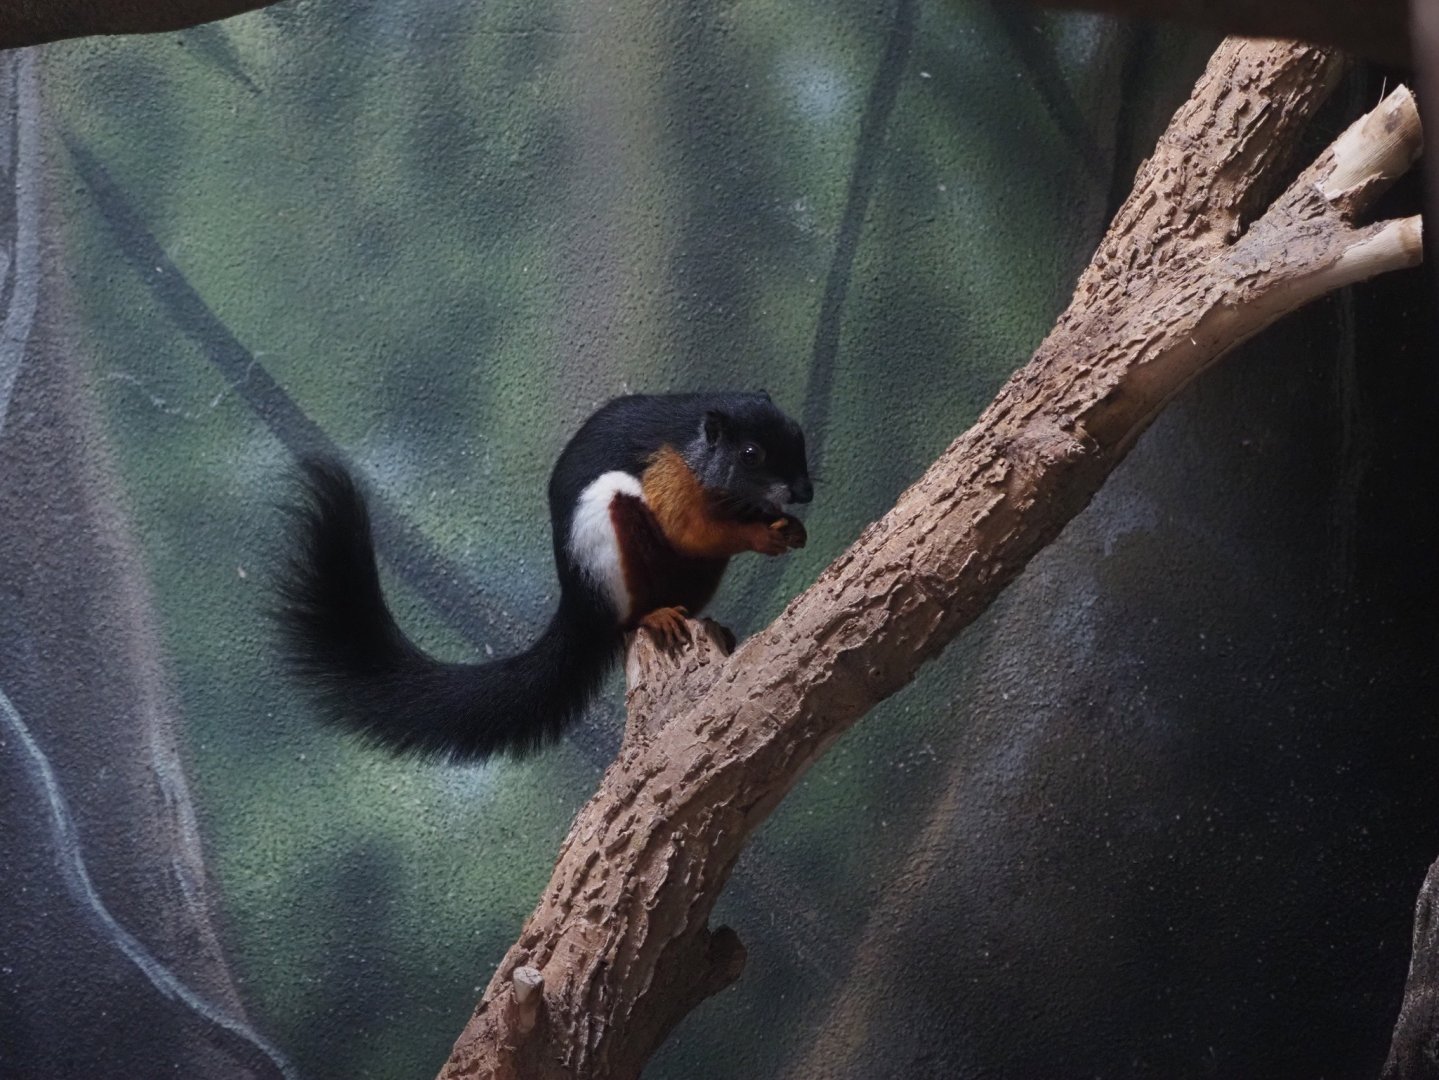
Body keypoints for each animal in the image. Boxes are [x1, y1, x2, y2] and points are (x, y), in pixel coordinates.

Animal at [275, 391, 812, 762]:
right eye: (750, 454)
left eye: (800, 435)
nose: (804, 492)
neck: (698, 451)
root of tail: (580, 606)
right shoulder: (668, 472)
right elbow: (689, 529)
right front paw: (763, 536)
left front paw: (792, 528)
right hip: (611, 540)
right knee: (627, 617)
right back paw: (654, 617)